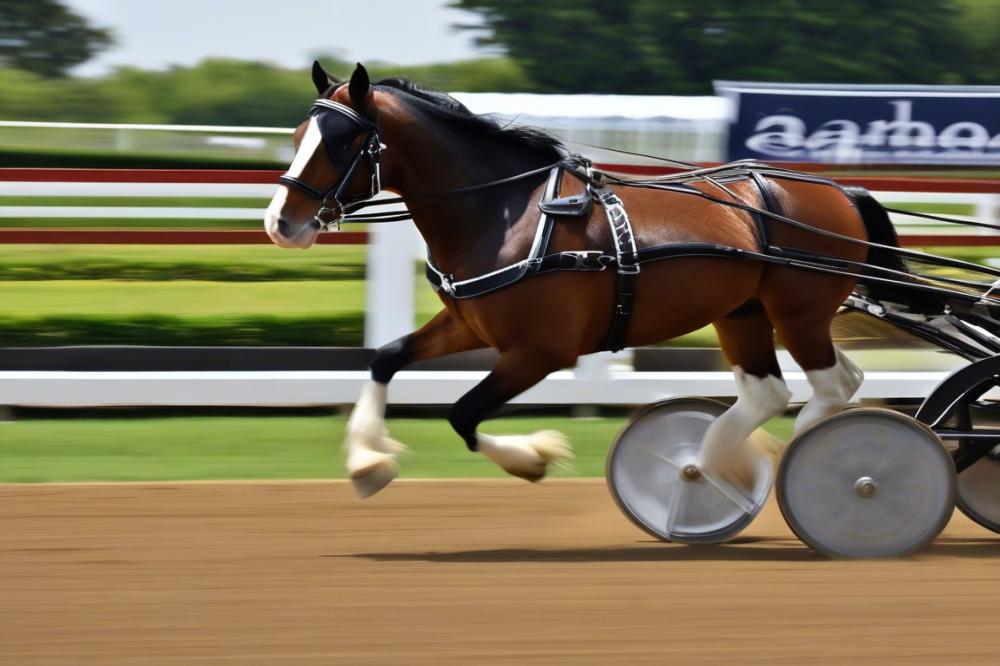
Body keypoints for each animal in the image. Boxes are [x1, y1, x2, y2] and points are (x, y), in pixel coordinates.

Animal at [262, 63, 896, 498]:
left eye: (344, 141)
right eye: (297, 134)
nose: (280, 223)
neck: (507, 212)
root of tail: (840, 190)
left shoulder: (540, 350)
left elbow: (463, 412)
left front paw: (533, 456)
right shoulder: (470, 324)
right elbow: (386, 358)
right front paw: (368, 461)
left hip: (798, 313)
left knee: (831, 387)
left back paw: (806, 464)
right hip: (743, 313)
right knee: (776, 391)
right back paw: (723, 465)